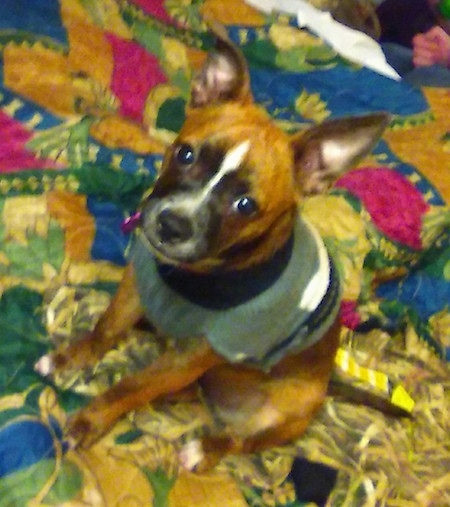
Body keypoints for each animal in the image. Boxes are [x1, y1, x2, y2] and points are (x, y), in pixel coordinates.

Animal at [35, 22, 388, 468]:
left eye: (246, 206)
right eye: (185, 154)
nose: (172, 225)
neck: (195, 275)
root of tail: (327, 381)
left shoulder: (190, 358)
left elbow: (130, 388)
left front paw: (90, 420)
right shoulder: (136, 287)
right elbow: (104, 330)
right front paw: (69, 359)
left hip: (283, 413)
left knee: (238, 442)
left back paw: (202, 449)